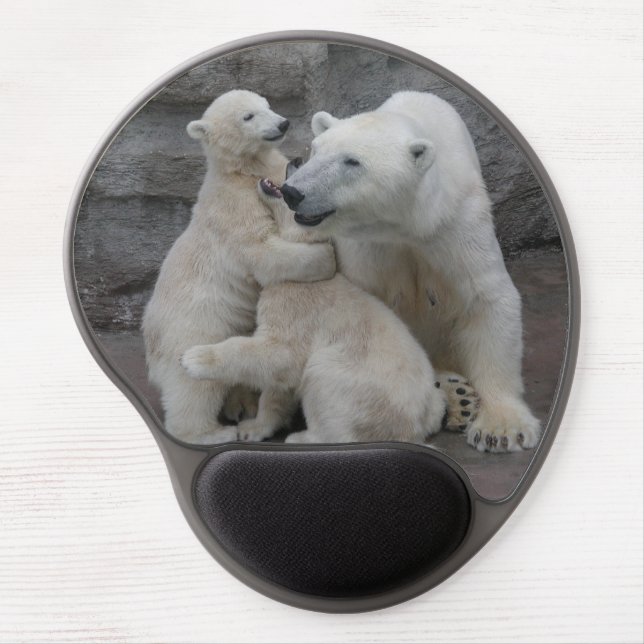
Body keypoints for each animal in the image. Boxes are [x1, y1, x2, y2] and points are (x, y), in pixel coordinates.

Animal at [141, 90, 335, 444]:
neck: (242, 171)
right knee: (192, 388)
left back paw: (242, 404)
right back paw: (212, 432)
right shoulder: (234, 204)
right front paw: (325, 259)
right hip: (193, 327)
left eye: (267, 104)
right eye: (248, 116)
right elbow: (261, 249)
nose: (283, 123)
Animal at [181, 177, 480, 445]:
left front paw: (194, 359)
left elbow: (280, 355)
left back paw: (303, 438)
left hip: (361, 393)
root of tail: (414, 430)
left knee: (323, 376)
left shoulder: (297, 306)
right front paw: (252, 428)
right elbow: (280, 385)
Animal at [280, 91, 541, 453]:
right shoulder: (368, 246)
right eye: (315, 150)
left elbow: (487, 298)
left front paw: (501, 429)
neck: (407, 223)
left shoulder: (456, 220)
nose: (292, 192)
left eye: (351, 161)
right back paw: (456, 393)